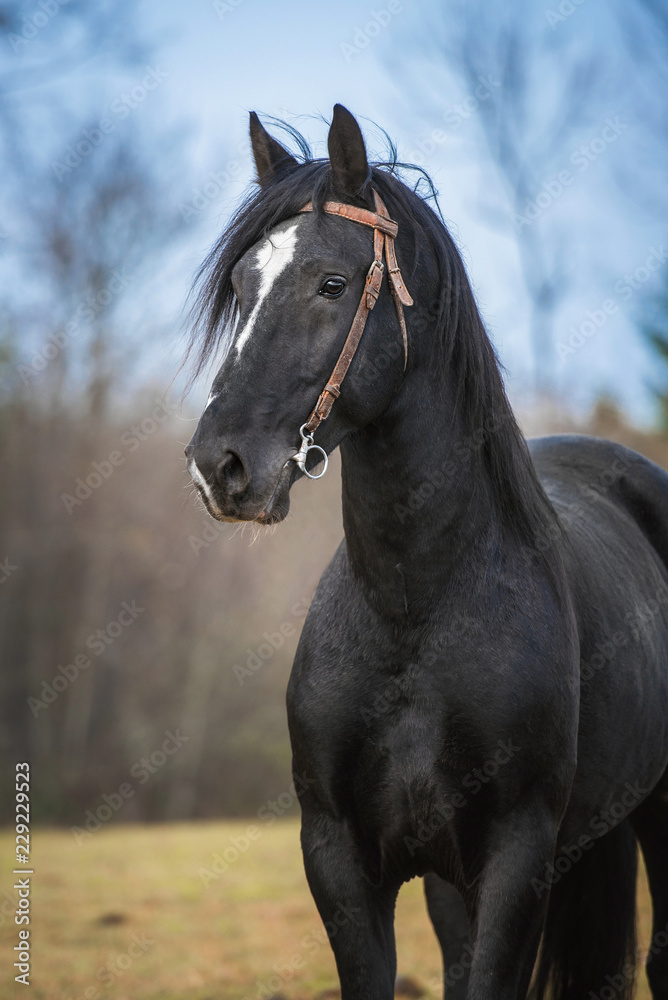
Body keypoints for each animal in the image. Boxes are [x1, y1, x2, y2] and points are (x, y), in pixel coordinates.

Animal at [184, 104, 668, 1000]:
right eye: (240, 289)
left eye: (332, 284)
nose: (219, 465)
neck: (414, 609)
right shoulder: (340, 859)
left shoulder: (517, 862)